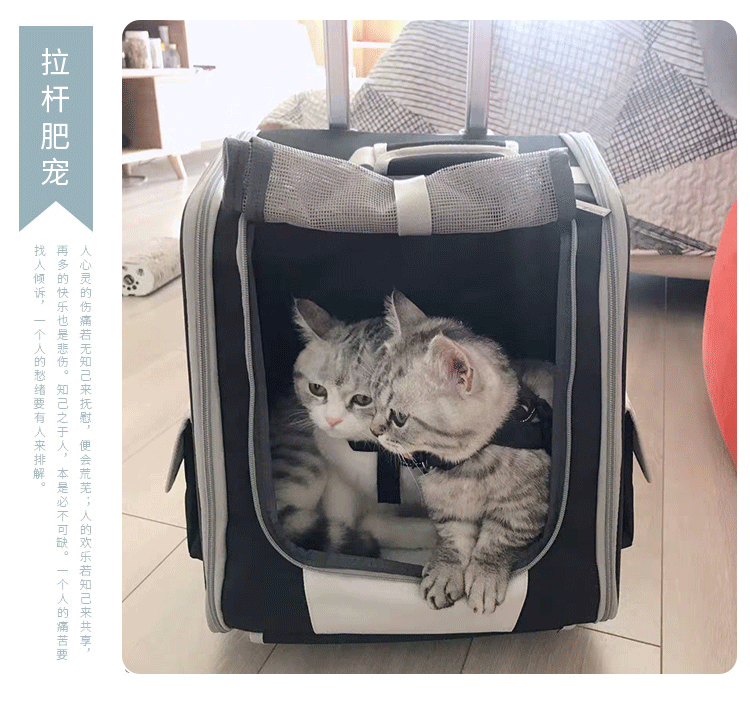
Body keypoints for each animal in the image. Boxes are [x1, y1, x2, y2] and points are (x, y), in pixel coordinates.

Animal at [271, 298, 437, 558]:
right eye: (317, 388)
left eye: (363, 399)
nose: (331, 420)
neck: (376, 453)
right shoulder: (339, 475)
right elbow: (344, 516)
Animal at [369, 292, 551, 613]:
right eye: (372, 401)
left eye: (399, 418)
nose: (373, 430)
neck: (467, 466)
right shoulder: (447, 508)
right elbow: (453, 538)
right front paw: (446, 572)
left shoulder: (526, 506)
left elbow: (499, 539)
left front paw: (485, 575)